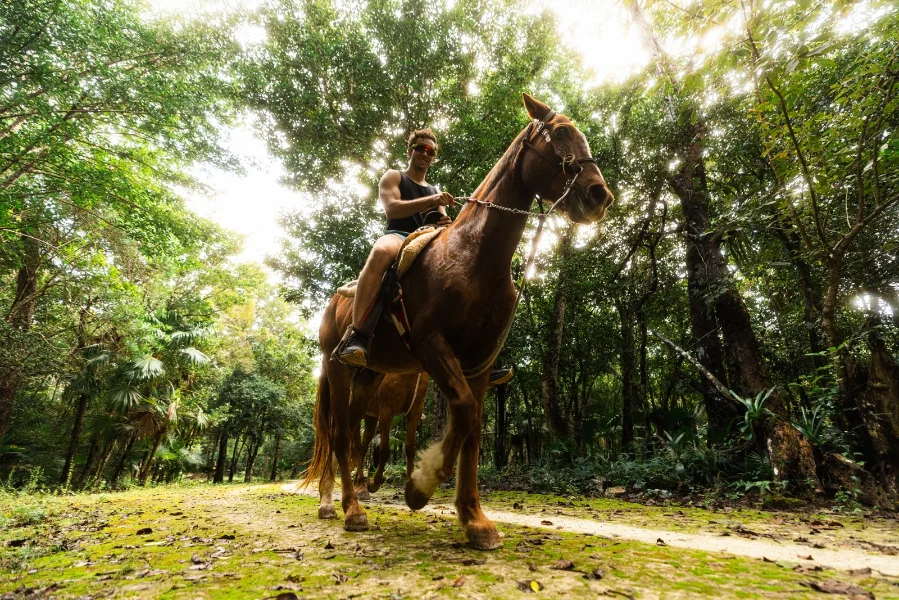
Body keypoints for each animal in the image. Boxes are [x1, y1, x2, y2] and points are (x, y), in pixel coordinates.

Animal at [302, 94, 613, 549]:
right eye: (558, 134)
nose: (598, 195)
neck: (475, 257)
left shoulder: (480, 362)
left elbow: (474, 430)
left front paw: (474, 519)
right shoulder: (432, 346)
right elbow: (463, 413)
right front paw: (421, 486)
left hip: (370, 375)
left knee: (356, 432)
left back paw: (344, 501)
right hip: (338, 369)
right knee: (341, 435)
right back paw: (351, 509)